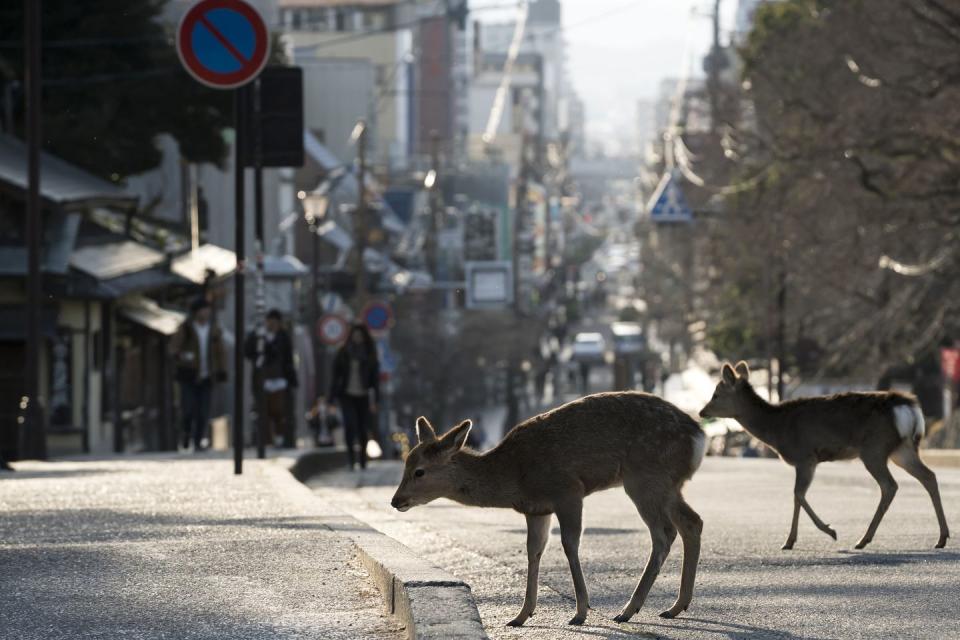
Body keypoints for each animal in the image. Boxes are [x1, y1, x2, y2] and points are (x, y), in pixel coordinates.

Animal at [386, 392, 708, 628]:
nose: (396, 500)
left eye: (419, 471)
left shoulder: (568, 491)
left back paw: (629, 610)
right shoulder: (536, 509)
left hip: (645, 477)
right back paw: (675, 606)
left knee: (664, 533)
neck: (514, 476)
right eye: (406, 464)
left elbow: (569, 544)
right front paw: (520, 615)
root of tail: (699, 438)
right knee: (692, 522)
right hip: (668, 484)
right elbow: (534, 550)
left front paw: (580, 613)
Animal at [700, 360, 948, 552]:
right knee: (929, 476)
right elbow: (796, 496)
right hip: (901, 449)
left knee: (890, 485)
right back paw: (942, 537)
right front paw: (790, 541)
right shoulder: (806, 461)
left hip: (874, 448)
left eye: (716, 394)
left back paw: (863, 539)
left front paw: (829, 531)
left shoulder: (805, 456)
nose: (702, 412)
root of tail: (907, 407)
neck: (776, 429)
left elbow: (798, 494)